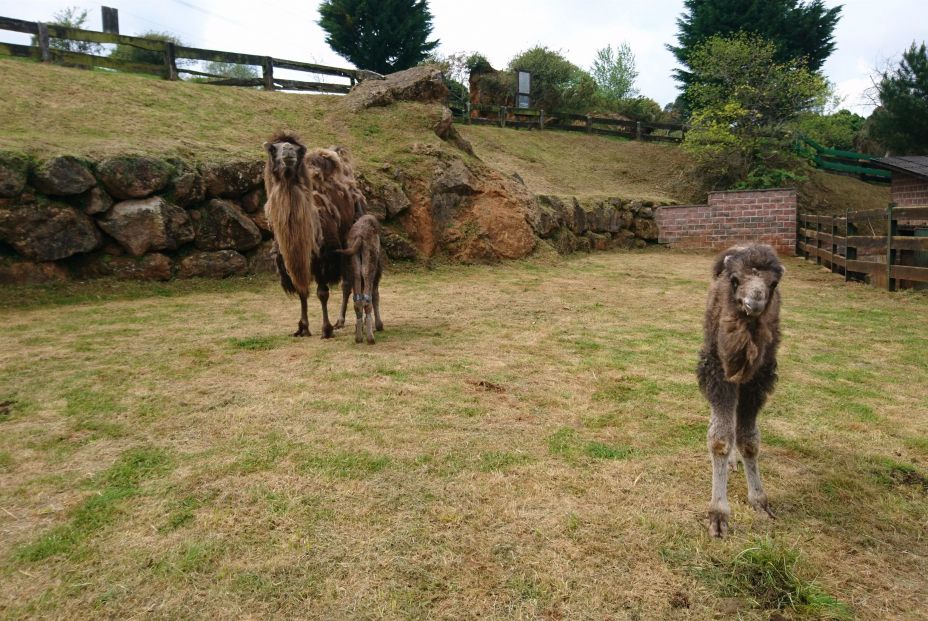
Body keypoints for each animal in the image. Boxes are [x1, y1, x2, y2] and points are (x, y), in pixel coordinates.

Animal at [696, 243, 784, 536]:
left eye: (773, 283)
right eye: (735, 280)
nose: (753, 302)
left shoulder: (757, 382)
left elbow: (750, 441)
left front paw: (760, 501)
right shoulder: (716, 372)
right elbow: (720, 439)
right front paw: (718, 515)